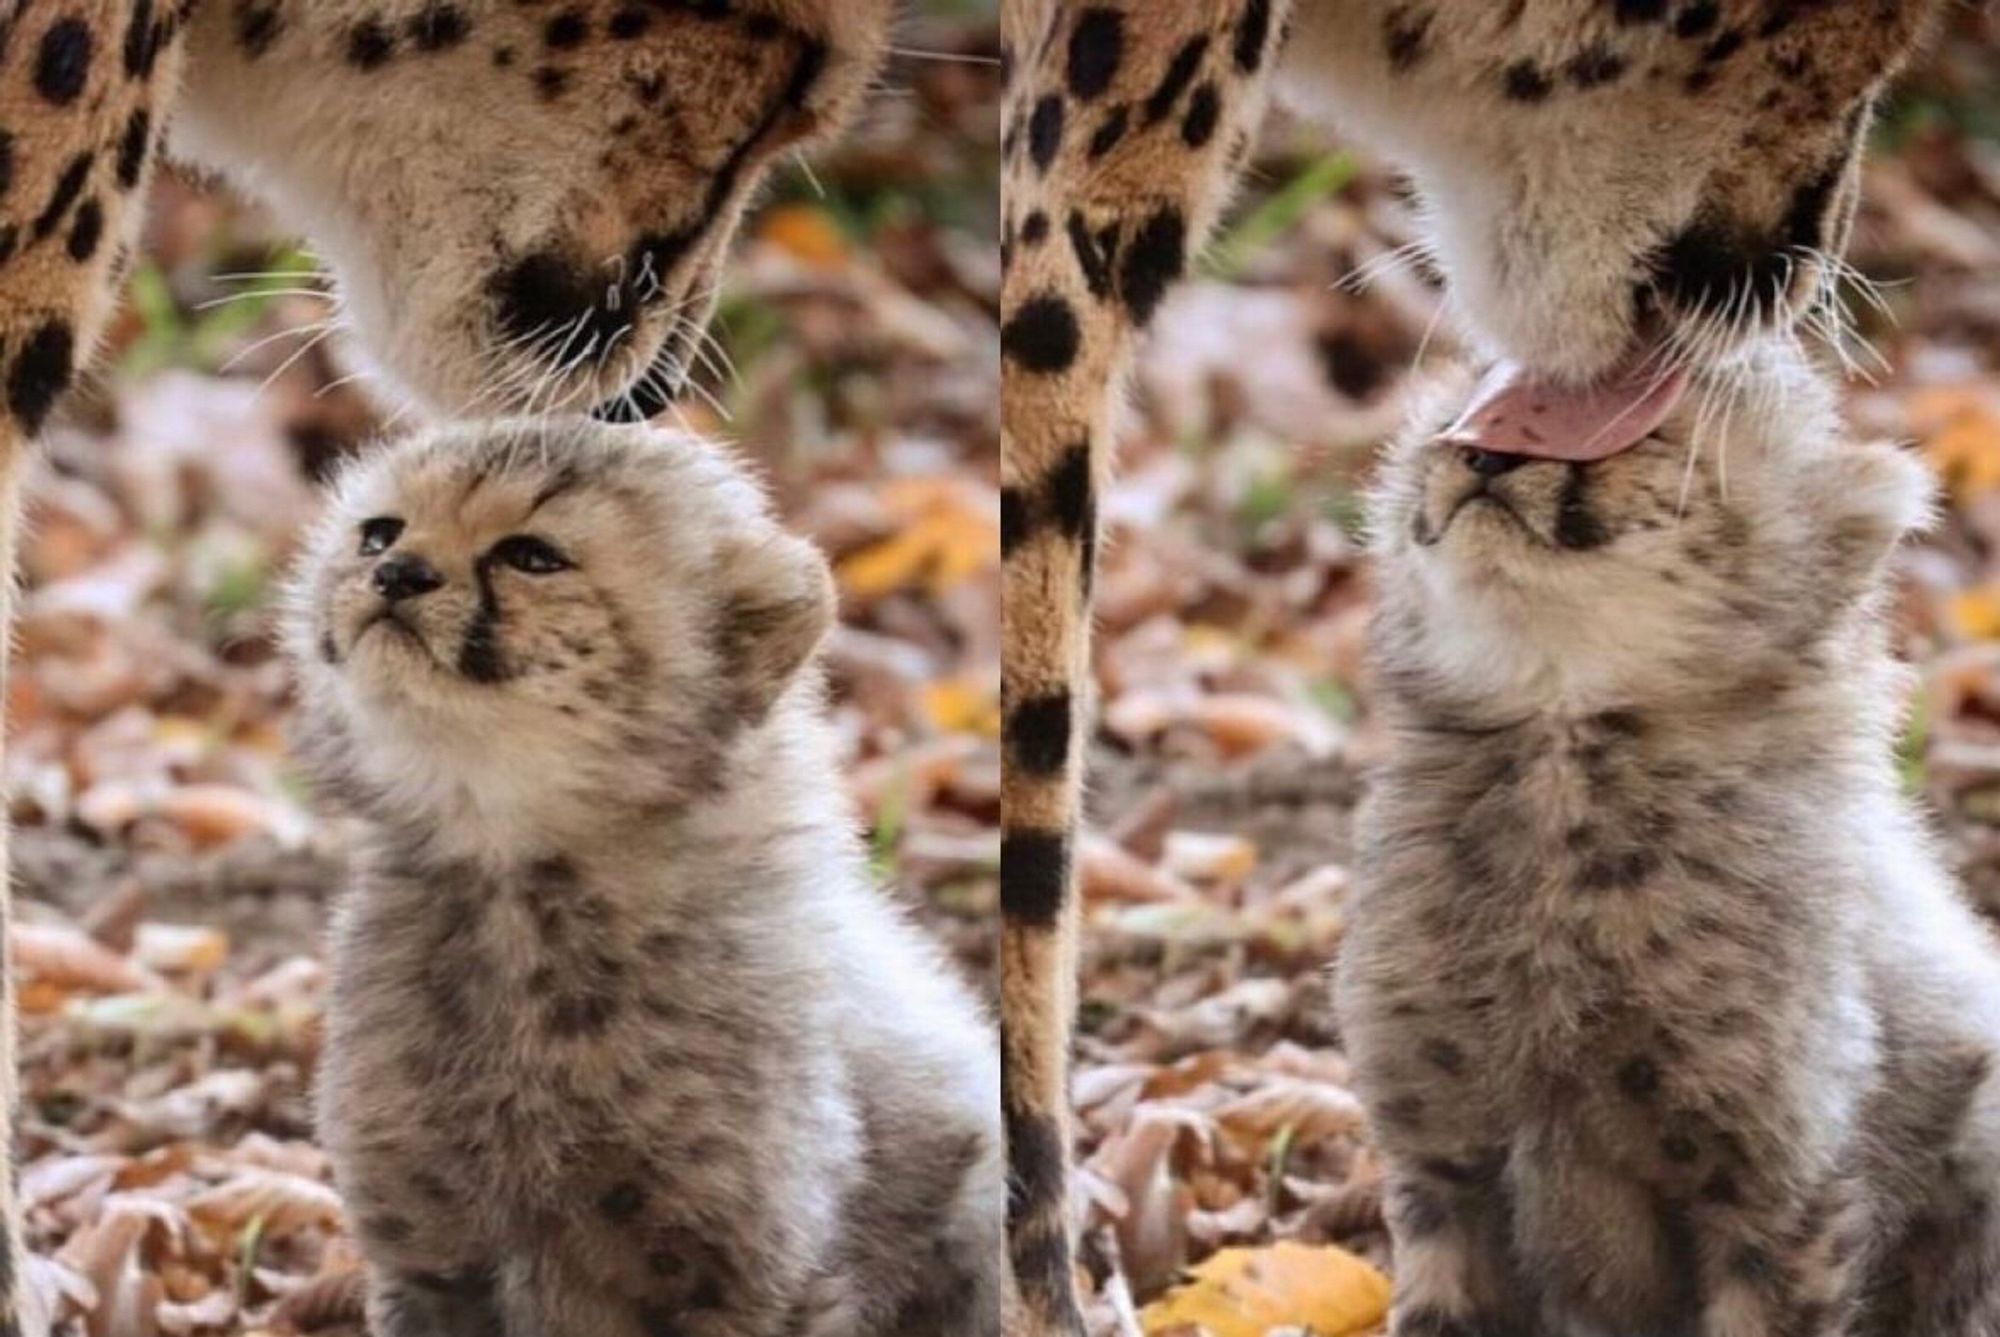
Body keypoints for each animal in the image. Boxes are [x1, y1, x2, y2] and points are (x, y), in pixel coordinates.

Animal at [1008, 5, 1944, 1328]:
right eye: (1473, 418)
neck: (1561, 763)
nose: (1486, 461)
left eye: (1638, 434)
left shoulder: (1776, 1195)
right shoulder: (1440, 1158)